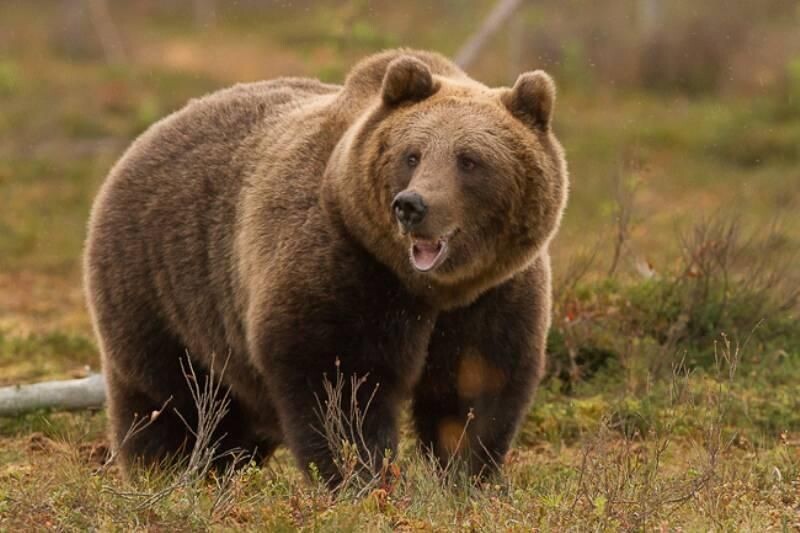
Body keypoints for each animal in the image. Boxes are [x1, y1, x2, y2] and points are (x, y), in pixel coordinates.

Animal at [83, 49, 569, 485]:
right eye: (411, 154)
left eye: (469, 160)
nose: (412, 205)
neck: (431, 289)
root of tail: (147, 134)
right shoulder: (347, 270)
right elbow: (340, 387)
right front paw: (363, 478)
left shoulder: (494, 295)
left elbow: (474, 390)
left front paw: (465, 477)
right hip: (160, 285)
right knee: (170, 399)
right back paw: (166, 472)